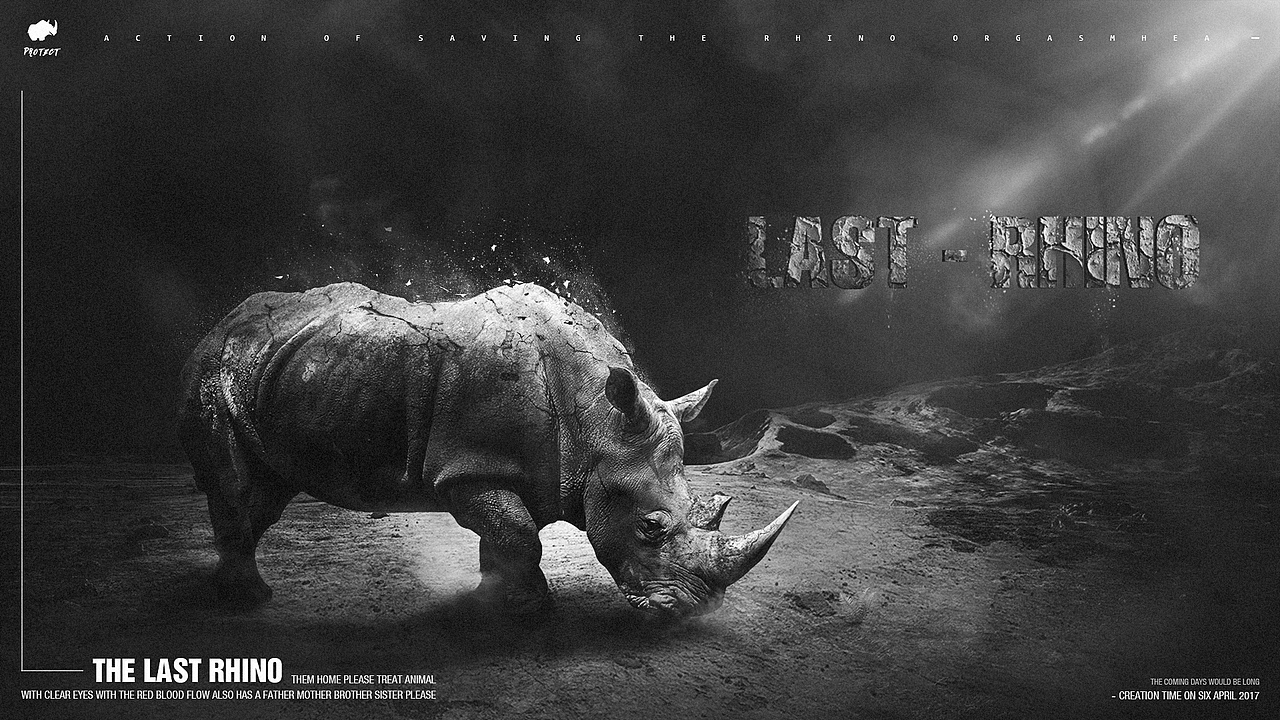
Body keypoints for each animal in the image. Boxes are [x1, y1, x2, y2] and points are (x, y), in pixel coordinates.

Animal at [179, 282, 796, 617]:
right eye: (650, 528)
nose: (695, 610)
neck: (597, 419)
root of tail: (222, 322)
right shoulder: (465, 469)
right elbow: (518, 533)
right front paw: (532, 610)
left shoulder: (525, 468)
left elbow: (505, 534)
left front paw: (493, 598)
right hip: (216, 368)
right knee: (237, 488)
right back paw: (249, 601)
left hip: (282, 371)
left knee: (267, 492)